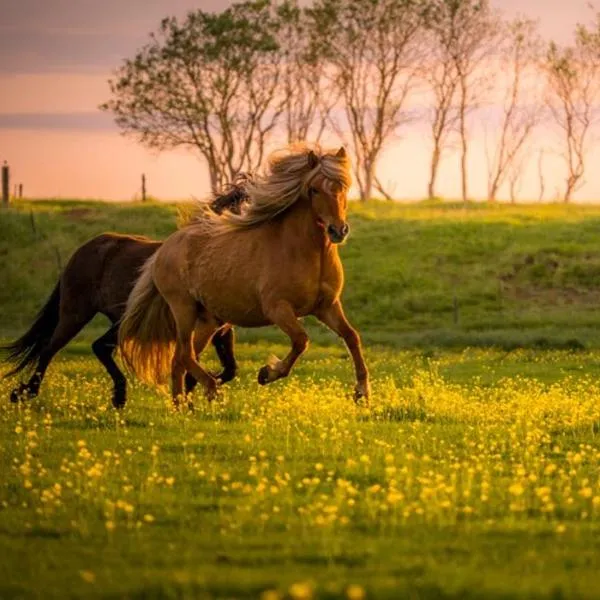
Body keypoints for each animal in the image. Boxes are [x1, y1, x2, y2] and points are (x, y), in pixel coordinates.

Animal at [0, 183, 248, 408]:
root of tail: (85, 249)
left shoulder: (220, 328)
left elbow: (229, 368)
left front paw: (198, 392)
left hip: (118, 321)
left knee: (97, 347)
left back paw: (118, 397)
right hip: (76, 315)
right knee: (51, 349)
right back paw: (26, 393)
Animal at [119, 145, 368, 408]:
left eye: (344, 187)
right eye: (314, 189)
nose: (338, 230)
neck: (305, 251)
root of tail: (164, 247)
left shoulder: (327, 307)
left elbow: (352, 337)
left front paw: (362, 393)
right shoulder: (278, 308)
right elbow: (301, 340)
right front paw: (267, 373)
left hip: (209, 321)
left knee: (179, 359)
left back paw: (183, 407)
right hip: (183, 308)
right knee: (185, 354)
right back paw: (211, 390)